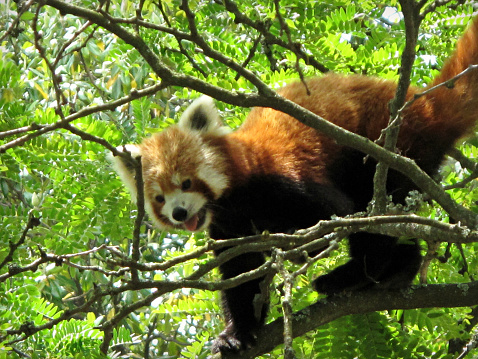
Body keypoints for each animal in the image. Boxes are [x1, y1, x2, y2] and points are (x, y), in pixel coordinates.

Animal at [110, 16, 478, 354]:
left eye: (186, 182)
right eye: (159, 198)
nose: (179, 213)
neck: (238, 200)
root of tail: (422, 101)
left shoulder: (287, 182)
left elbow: (335, 216)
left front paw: (303, 247)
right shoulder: (230, 228)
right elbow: (242, 275)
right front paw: (237, 333)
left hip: (392, 148)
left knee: (376, 213)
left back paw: (363, 273)